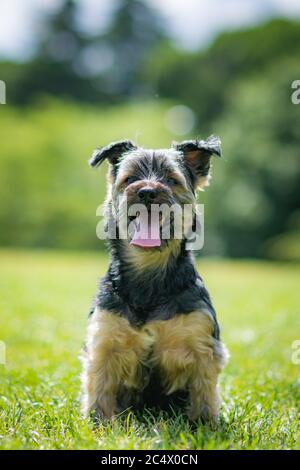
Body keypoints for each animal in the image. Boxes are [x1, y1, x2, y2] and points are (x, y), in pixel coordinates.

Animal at [81, 136, 229, 422]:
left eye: (171, 180)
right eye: (129, 179)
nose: (147, 192)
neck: (149, 274)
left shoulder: (201, 344)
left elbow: (203, 391)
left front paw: (204, 425)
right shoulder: (105, 339)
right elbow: (100, 386)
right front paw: (98, 423)